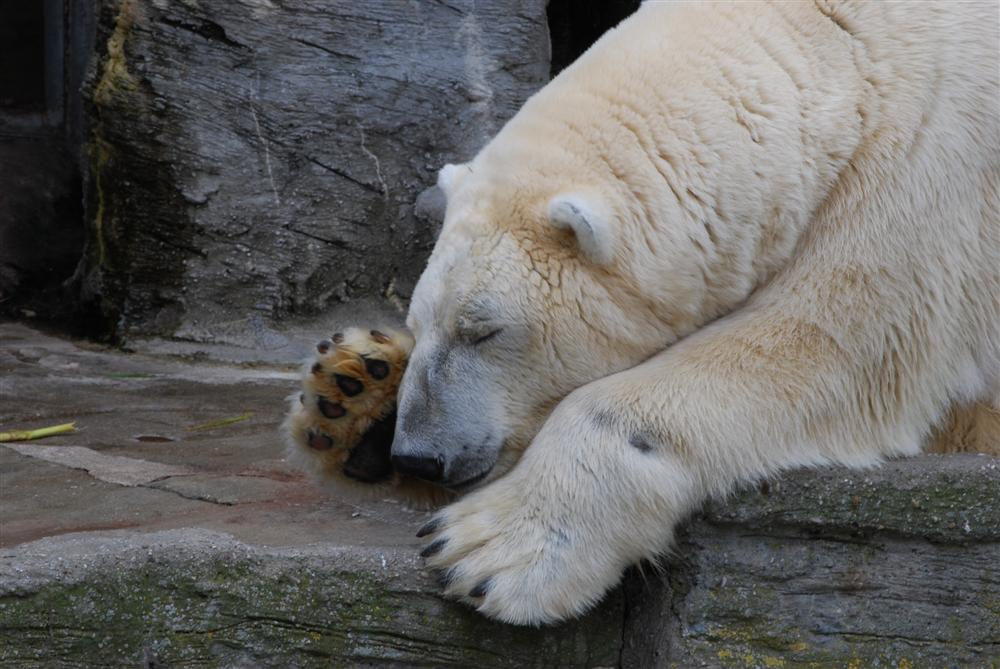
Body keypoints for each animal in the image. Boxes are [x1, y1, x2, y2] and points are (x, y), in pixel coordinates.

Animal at [292, 1, 996, 628]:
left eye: (482, 330)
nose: (419, 456)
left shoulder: (928, 169)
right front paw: (355, 396)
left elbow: (824, 342)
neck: (838, 54)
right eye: (422, 321)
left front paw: (482, 550)